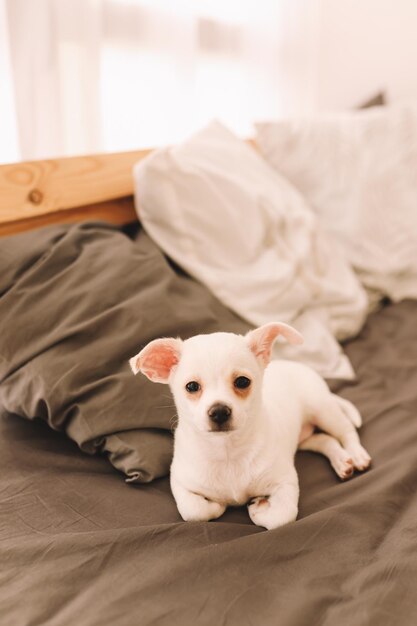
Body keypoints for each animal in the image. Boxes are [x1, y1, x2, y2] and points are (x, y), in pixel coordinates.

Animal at [130, 324, 370, 528]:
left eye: (242, 382)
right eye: (191, 386)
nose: (219, 411)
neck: (227, 452)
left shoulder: (286, 482)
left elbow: (282, 516)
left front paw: (259, 508)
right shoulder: (180, 483)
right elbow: (194, 511)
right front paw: (216, 504)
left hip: (323, 410)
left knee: (346, 432)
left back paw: (356, 455)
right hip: (305, 437)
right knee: (325, 440)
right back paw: (342, 461)